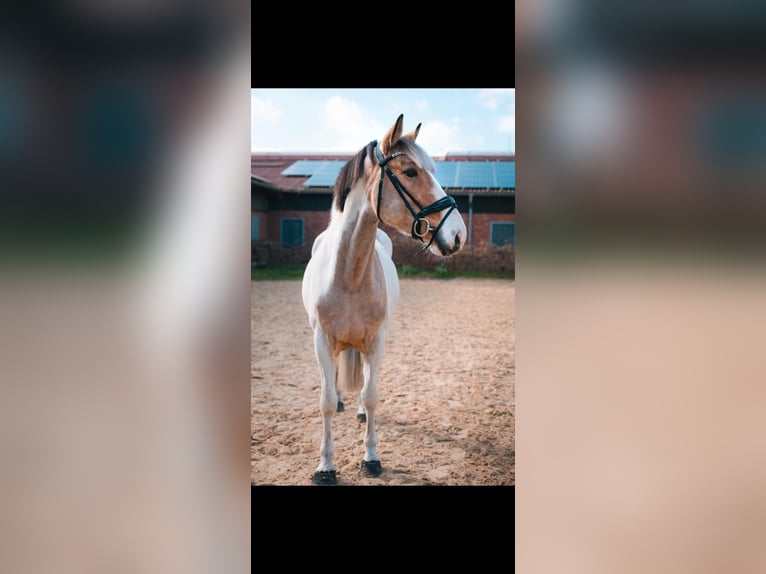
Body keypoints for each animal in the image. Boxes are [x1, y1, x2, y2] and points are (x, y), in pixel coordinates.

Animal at [302, 115, 468, 488]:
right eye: (410, 172)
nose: (458, 235)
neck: (348, 275)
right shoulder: (322, 341)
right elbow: (325, 401)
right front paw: (325, 466)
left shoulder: (376, 341)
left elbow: (372, 395)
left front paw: (371, 459)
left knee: (365, 381)